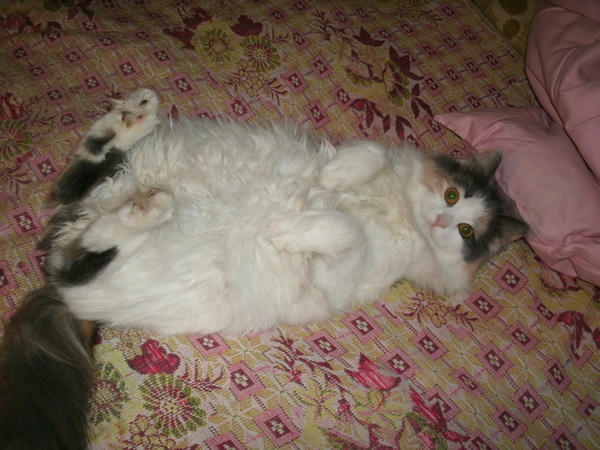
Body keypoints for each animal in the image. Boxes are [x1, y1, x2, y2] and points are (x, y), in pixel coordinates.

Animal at [0, 88, 527, 449]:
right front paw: (335, 174)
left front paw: (285, 229)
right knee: (80, 184)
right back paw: (136, 120)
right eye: (453, 195)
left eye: (466, 231)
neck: (397, 211)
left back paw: (147, 203)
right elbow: (373, 153)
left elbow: (344, 228)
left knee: (83, 246)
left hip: (105, 259)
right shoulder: (377, 165)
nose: (441, 220)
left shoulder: (339, 279)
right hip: (116, 188)